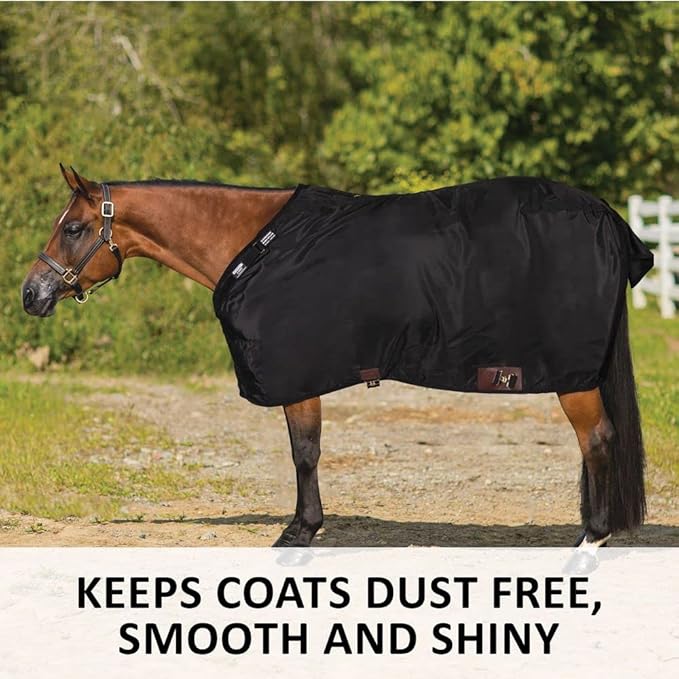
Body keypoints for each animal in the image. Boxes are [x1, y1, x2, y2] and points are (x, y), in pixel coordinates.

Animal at [22, 165, 651, 550]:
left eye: (73, 228)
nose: (31, 293)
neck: (257, 244)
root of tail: (611, 222)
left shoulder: (298, 377)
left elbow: (304, 452)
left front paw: (300, 531)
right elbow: (308, 451)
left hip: (572, 378)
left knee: (598, 440)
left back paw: (591, 537)